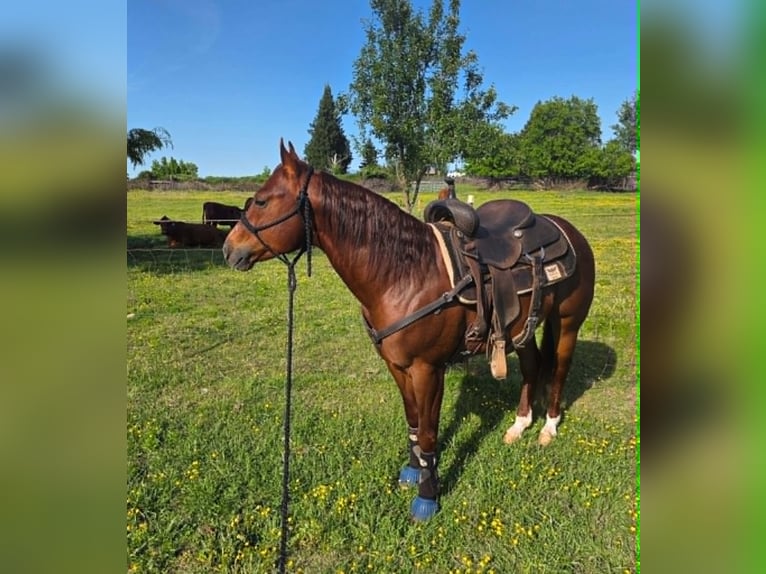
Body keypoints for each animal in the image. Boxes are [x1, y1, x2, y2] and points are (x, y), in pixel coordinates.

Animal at [223, 140, 595, 520]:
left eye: (262, 201)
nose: (228, 249)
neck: (405, 274)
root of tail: (567, 231)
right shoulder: (398, 366)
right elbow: (414, 422)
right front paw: (413, 471)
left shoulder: (427, 370)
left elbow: (429, 432)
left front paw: (427, 496)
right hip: (521, 331)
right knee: (533, 367)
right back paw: (519, 425)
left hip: (567, 325)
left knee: (559, 371)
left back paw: (548, 428)